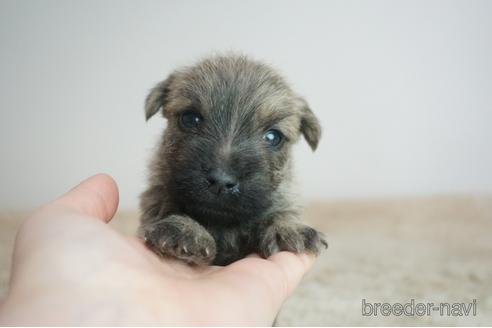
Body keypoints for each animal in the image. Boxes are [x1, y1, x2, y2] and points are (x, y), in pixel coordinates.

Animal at [138, 52, 326, 266]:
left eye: (273, 137)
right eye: (190, 119)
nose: (221, 181)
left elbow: (281, 212)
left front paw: (289, 228)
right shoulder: (157, 195)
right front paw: (185, 230)